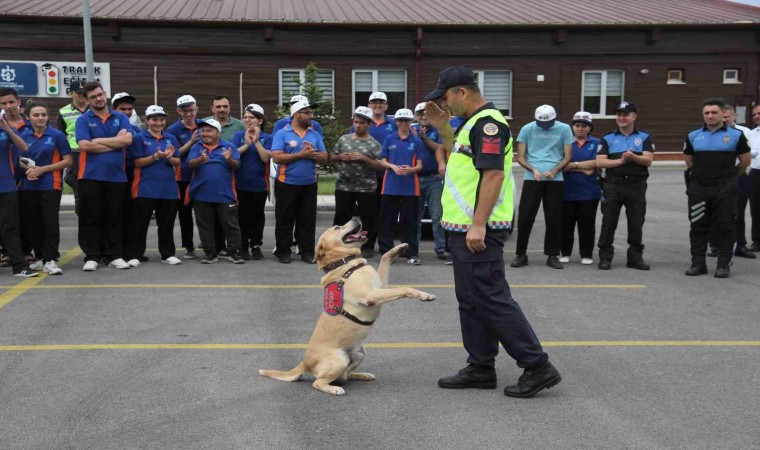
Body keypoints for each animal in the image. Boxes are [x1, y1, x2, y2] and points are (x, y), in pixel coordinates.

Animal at [258, 220, 434, 396]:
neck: (345, 264)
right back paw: (334, 389)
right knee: (318, 382)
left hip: (359, 353)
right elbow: (404, 288)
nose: (356, 218)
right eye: (337, 227)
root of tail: (304, 363)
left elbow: (384, 258)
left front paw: (398, 249)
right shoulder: (371, 295)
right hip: (340, 359)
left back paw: (362, 375)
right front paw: (424, 295)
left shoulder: (380, 287)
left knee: (345, 375)